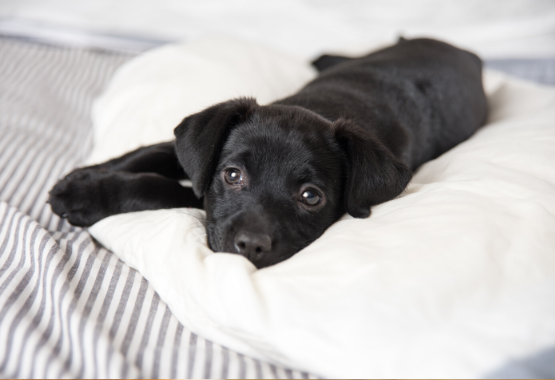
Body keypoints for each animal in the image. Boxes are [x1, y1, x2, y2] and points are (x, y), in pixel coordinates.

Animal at [48, 37, 486, 268]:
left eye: (311, 197)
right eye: (233, 175)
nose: (251, 247)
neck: (320, 106)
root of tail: (466, 54)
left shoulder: (198, 198)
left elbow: (163, 188)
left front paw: (85, 195)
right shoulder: (194, 151)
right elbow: (146, 154)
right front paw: (83, 179)